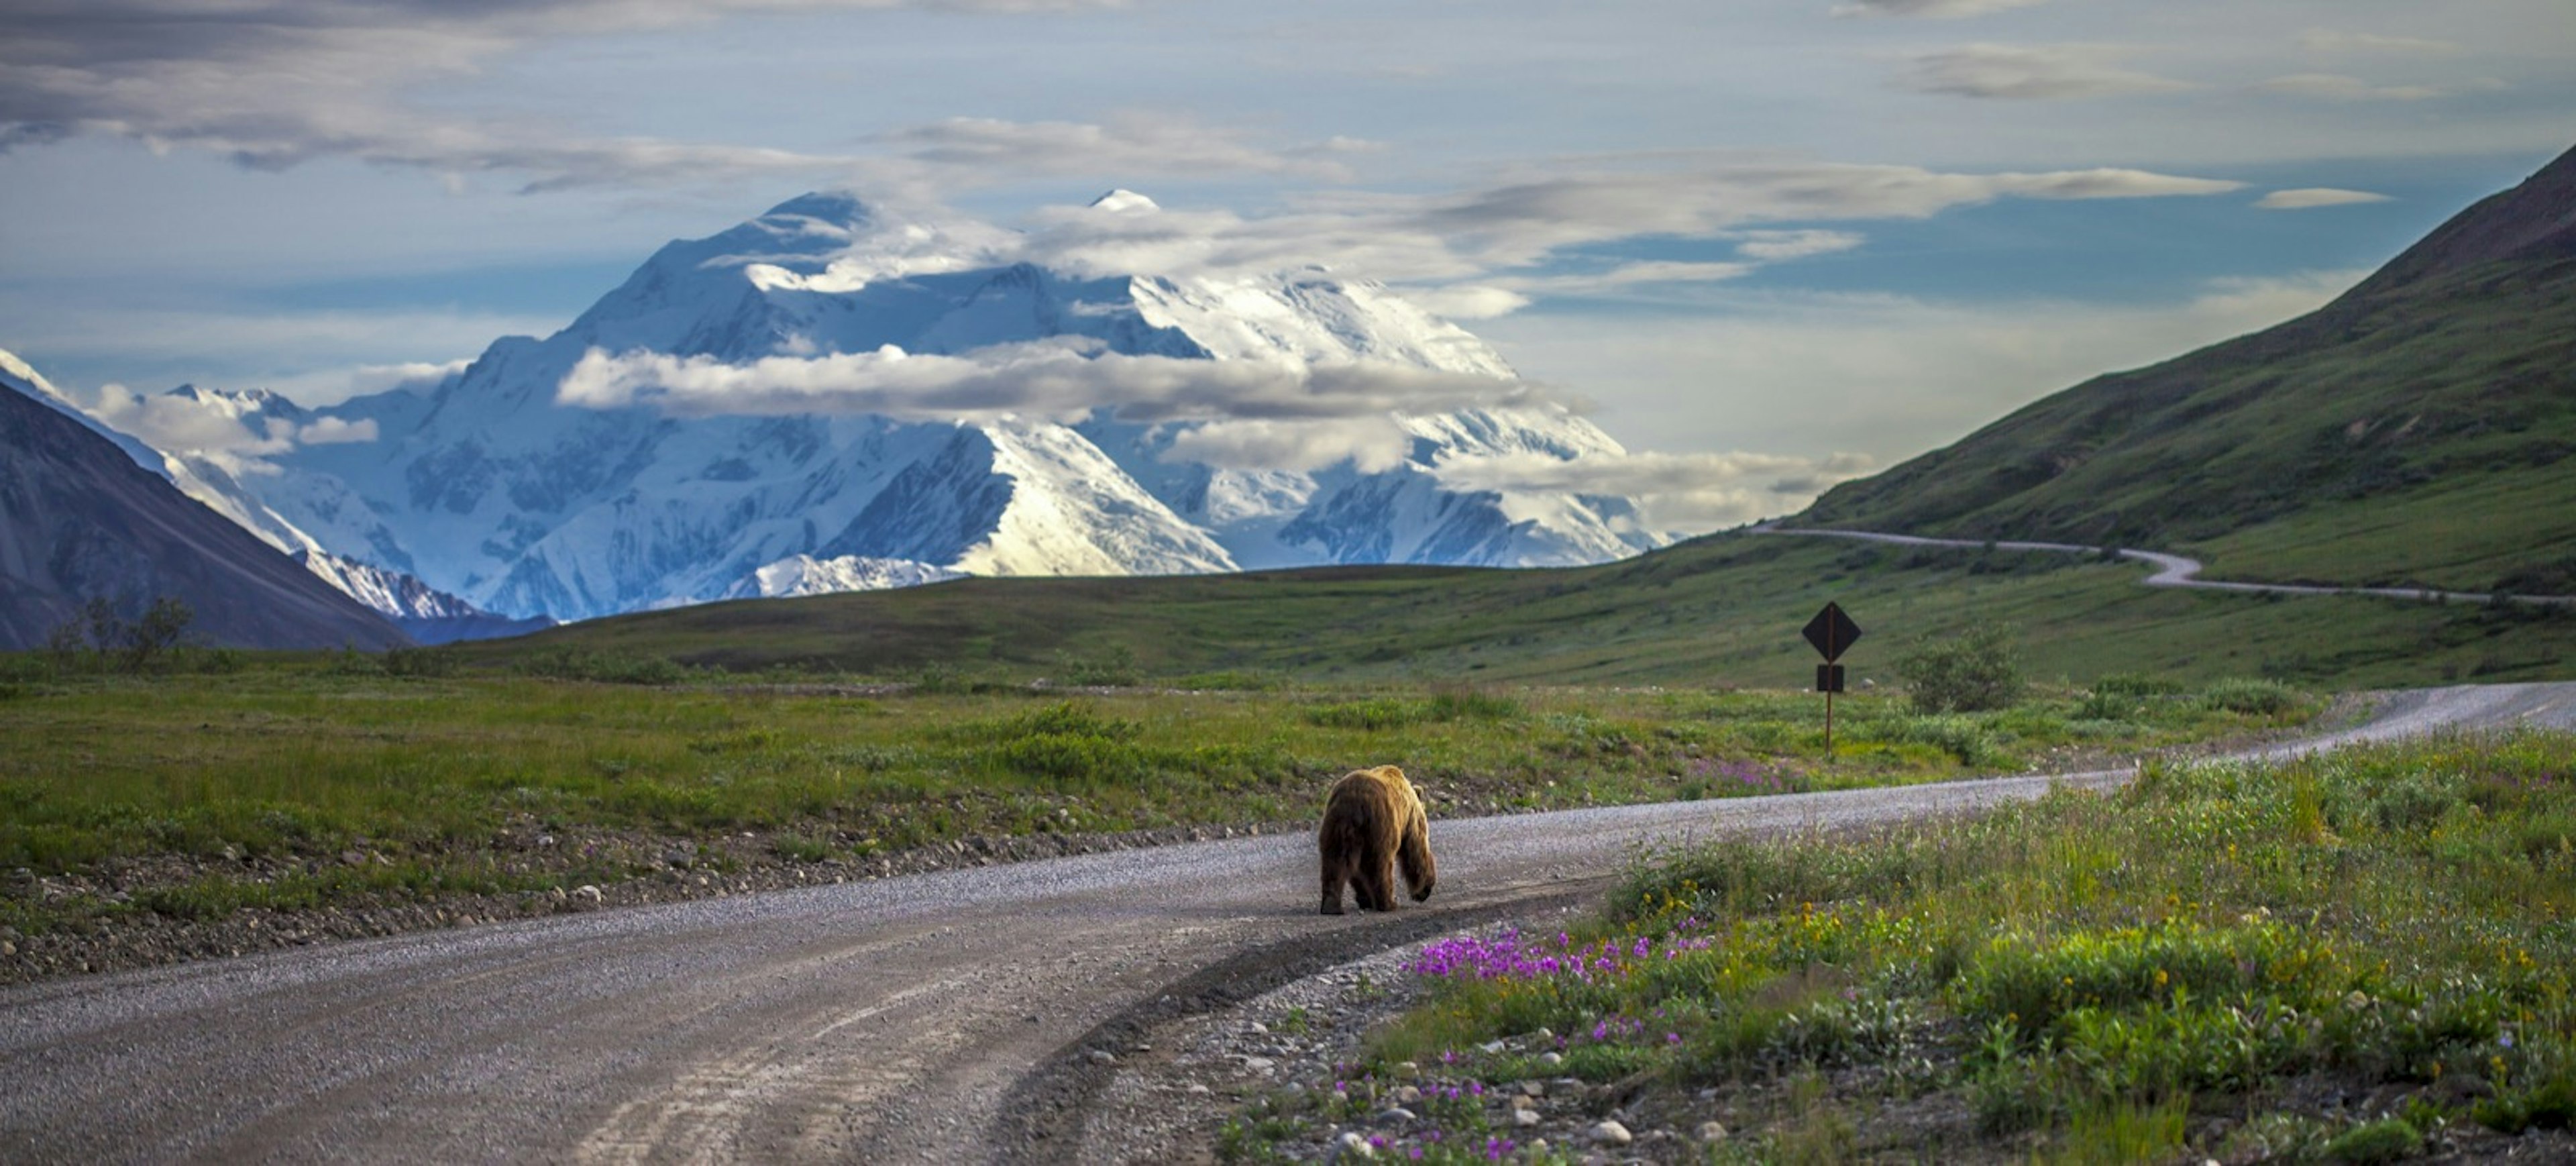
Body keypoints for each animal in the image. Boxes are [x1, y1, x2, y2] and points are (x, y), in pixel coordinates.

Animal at [1319, 767, 1442, 911]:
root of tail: (1354, 800)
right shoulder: (1410, 820)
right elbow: (1416, 850)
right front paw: (1424, 889)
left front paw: (1364, 899)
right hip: (1381, 826)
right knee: (1381, 864)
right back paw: (1388, 903)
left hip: (1337, 827)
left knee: (1334, 862)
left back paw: (1331, 905)